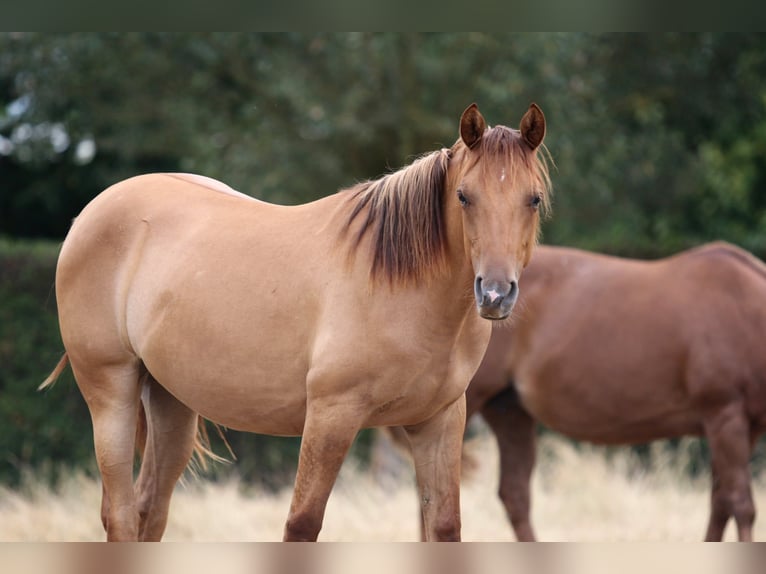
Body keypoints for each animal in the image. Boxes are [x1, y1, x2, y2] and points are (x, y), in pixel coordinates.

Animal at [41, 103, 551, 541]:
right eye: (464, 196)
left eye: (533, 199)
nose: (495, 294)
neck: (400, 282)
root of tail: (91, 213)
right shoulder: (331, 415)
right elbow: (302, 524)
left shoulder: (439, 422)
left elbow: (443, 528)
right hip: (111, 392)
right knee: (121, 514)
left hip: (171, 401)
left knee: (151, 509)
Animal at [458, 242, 766, 541]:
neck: (744, 313)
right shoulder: (724, 418)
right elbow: (742, 506)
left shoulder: (741, 427)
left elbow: (720, 505)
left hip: (509, 412)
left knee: (515, 495)